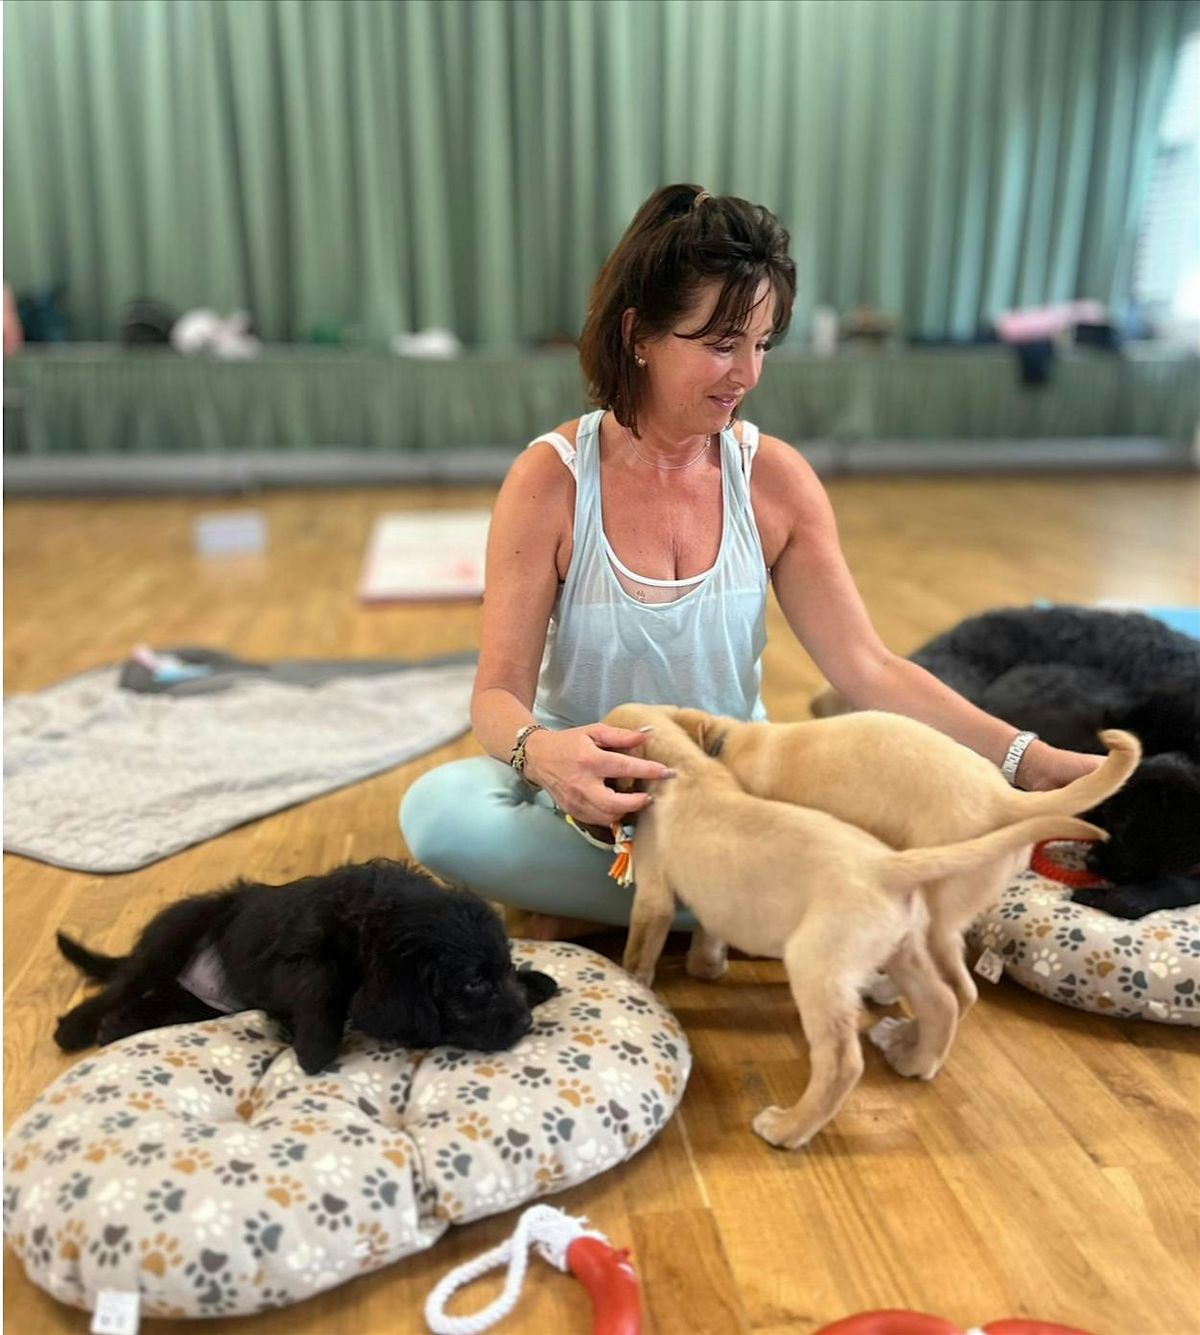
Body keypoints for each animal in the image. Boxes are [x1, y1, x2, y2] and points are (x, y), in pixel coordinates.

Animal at [54, 859, 558, 1074]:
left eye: (503, 968)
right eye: (473, 984)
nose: (526, 1023)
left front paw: (534, 980)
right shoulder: (302, 955)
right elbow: (322, 983)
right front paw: (314, 1047)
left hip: (197, 1005)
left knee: (151, 1003)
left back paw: (114, 1027)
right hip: (176, 933)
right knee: (124, 981)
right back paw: (76, 1027)